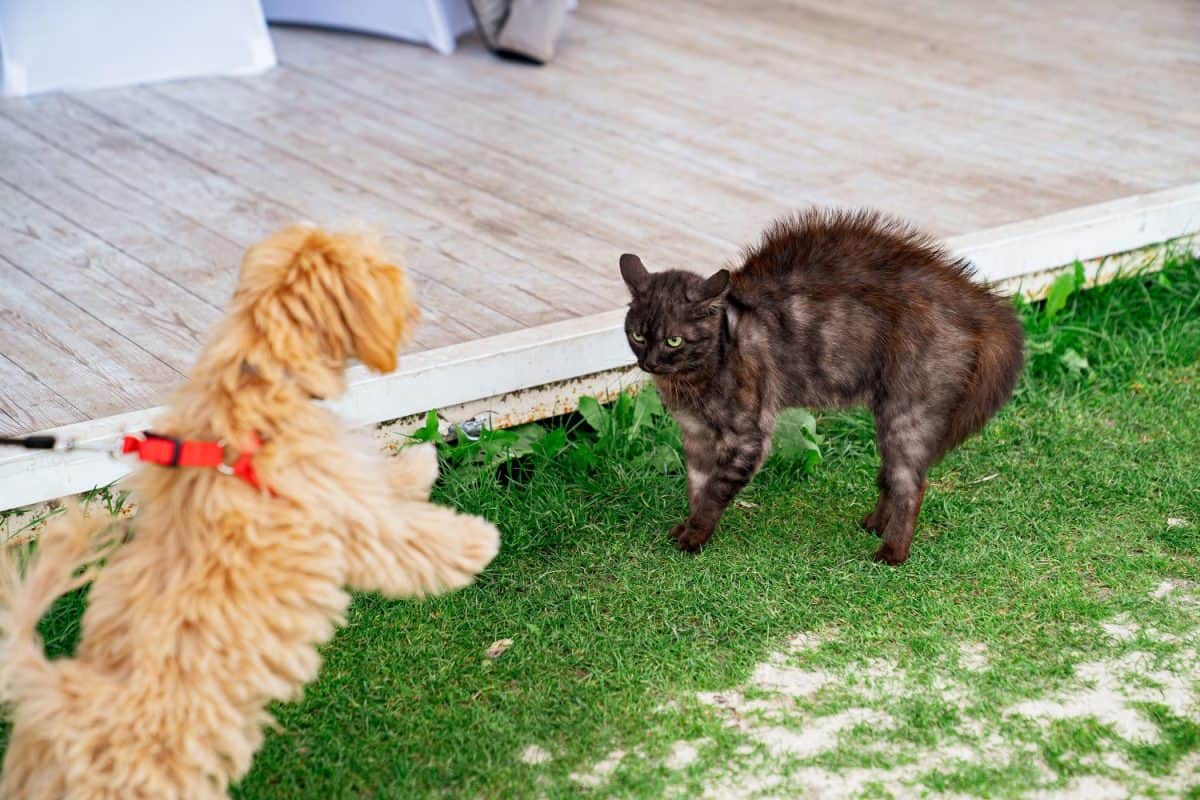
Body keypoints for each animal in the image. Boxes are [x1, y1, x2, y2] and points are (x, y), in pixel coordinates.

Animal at [0, 226, 499, 800]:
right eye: (381, 268)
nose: (417, 304)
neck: (257, 375)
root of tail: (58, 700)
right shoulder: (347, 515)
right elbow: (408, 537)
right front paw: (478, 540)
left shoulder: (337, 482)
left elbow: (379, 479)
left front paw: (420, 462)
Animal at [624, 209, 1027, 566]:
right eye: (638, 335)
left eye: (674, 340)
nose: (650, 363)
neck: (692, 380)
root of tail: (978, 302)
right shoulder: (695, 436)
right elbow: (697, 487)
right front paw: (688, 527)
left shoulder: (747, 437)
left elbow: (713, 492)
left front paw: (695, 536)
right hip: (890, 417)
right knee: (893, 478)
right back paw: (875, 525)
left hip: (908, 414)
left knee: (912, 485)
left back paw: (892, 553)